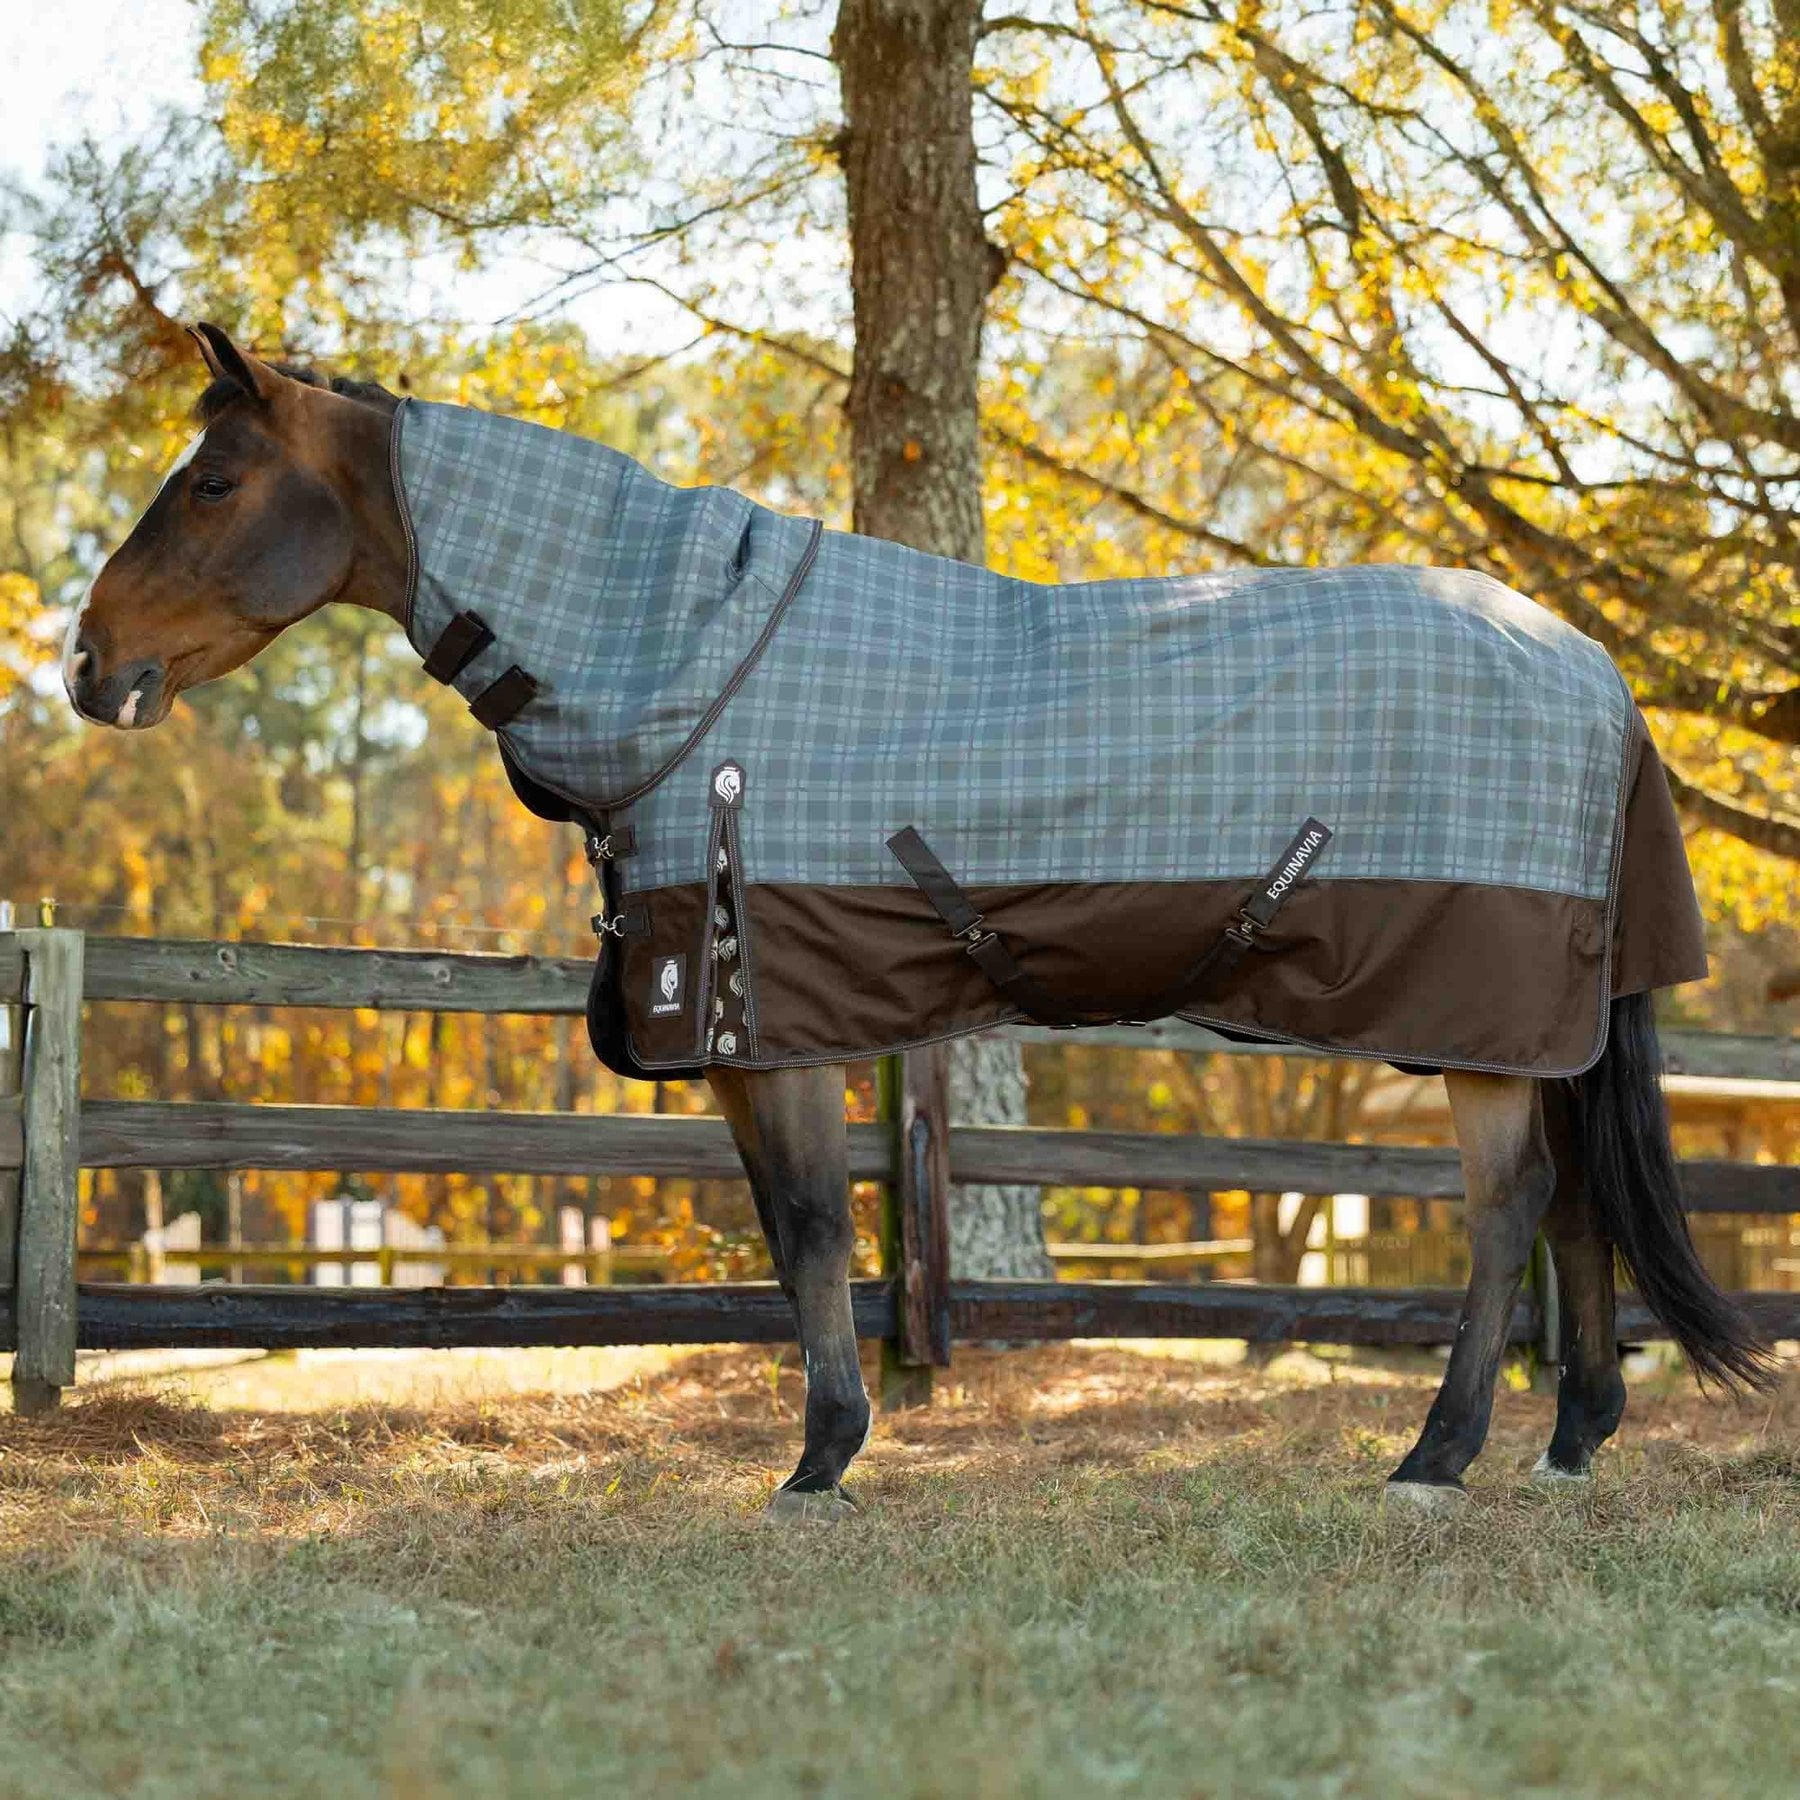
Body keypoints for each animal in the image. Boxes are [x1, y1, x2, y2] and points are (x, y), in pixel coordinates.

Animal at [64, 322, 1777, 1517]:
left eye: (213, 482)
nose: (88, 665)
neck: (690, 661)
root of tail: (1594, 668)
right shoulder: (753, 1029)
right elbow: (788, 1236)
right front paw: (827, 1446)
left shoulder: (777, 1022)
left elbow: (821, 1232)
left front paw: (821, 1462)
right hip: (1537, 1024)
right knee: (1576, 1198)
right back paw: (1570, 1443)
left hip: (1477, 1013)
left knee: (1508, 1210)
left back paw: (1439, 1455)